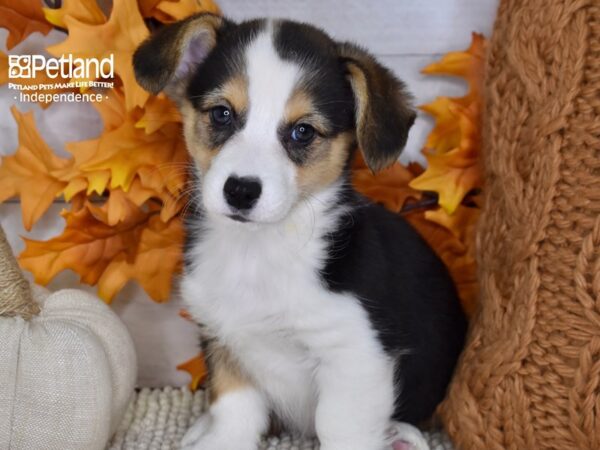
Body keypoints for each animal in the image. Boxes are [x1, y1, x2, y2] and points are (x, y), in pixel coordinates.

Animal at [134, 13, 466, 450]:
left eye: (303, 132)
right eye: (222, 114)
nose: (241, 190)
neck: (258, 251)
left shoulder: (354, 355)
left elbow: (339, 428)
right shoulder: (226, 341)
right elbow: (235, 410)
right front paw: (219, 439)